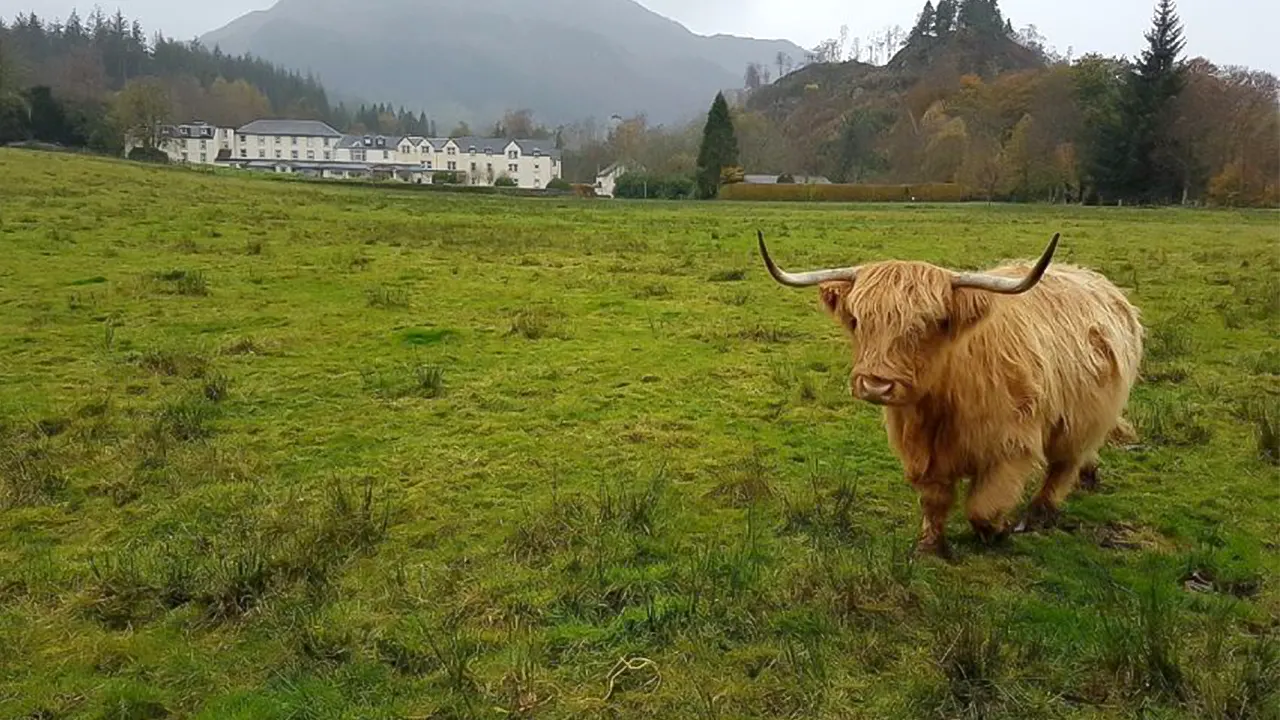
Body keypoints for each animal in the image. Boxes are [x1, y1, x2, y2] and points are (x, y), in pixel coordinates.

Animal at [752, 230, 1146, 556]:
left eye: (929, 323)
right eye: (857, 320)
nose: (876, 383)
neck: (941, 401)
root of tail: (1101, 284)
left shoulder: (1012, 447)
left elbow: (983, 508)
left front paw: (998, 531)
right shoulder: (921, 452)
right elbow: (934, 499)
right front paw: (930, 545)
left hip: (1083, 417)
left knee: (1064, 465)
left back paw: (1038, 513)